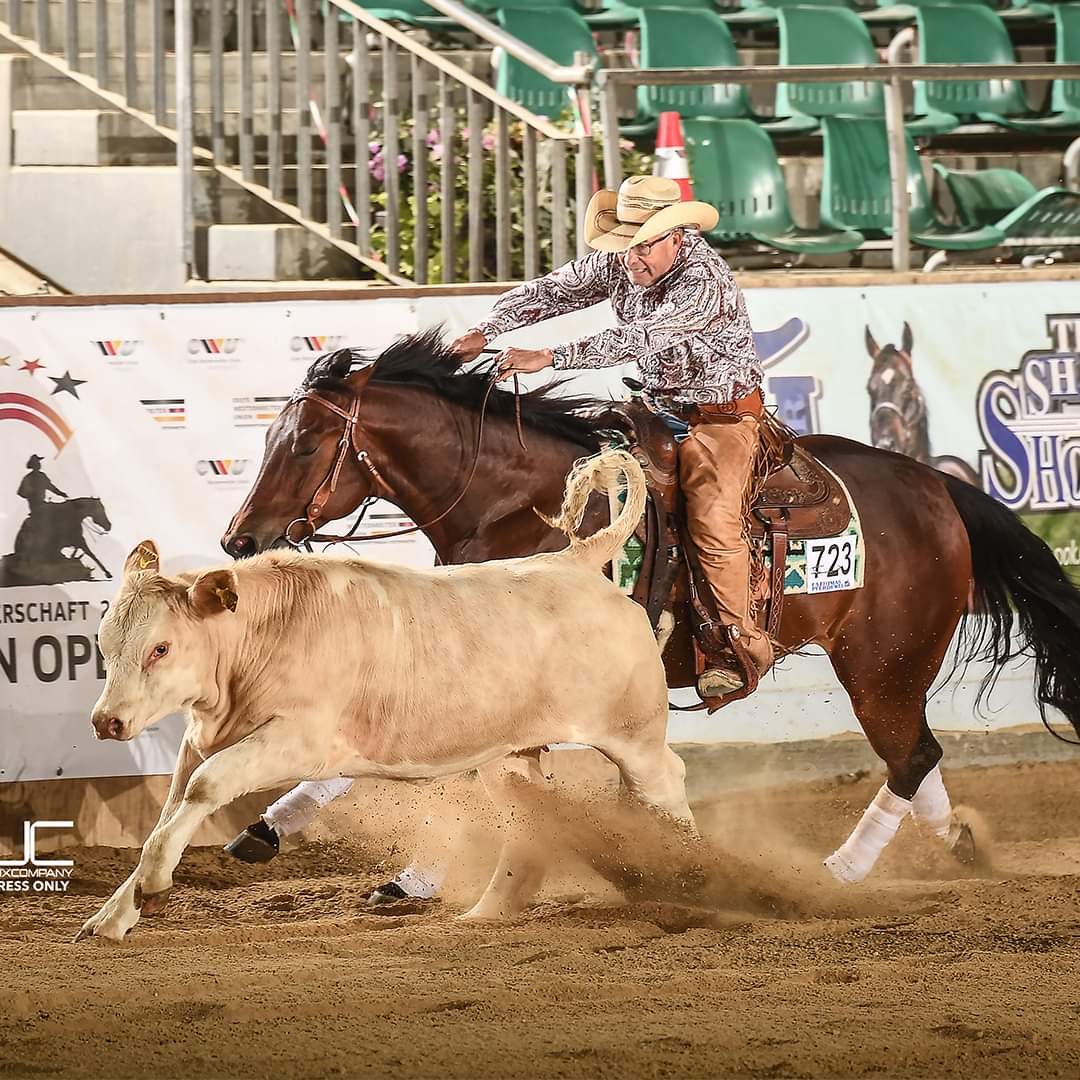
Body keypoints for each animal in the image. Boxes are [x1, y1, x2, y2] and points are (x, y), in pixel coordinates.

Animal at [76, 449, 695, 942]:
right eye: (105, 644)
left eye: (160, 648)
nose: (106, 722)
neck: (266, 633)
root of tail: (575, 561)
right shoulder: (201, 741)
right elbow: (168, 815)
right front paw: (112, 917)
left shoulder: (298, 740)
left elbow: (205, 787)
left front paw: (154, 886)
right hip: (508, 755)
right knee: (530, 830)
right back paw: (487, 914)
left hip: (634, 738)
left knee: (666, 791)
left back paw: (690, 887)